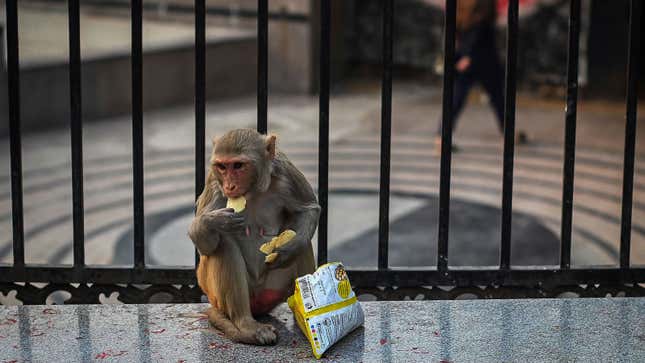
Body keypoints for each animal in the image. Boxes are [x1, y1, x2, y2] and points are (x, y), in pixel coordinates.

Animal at [189, 129, 320, 346]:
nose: (230, 186)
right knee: (224, 245)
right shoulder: (214, 182)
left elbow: (308, 209)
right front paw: (214, 222)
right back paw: (246, 323)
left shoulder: (285, 171)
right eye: (222, 167)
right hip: (215, 293)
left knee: (303, 243)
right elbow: (205, 246)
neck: (253, 190)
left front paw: (288, 251)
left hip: (274, 289)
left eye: (238, 165)